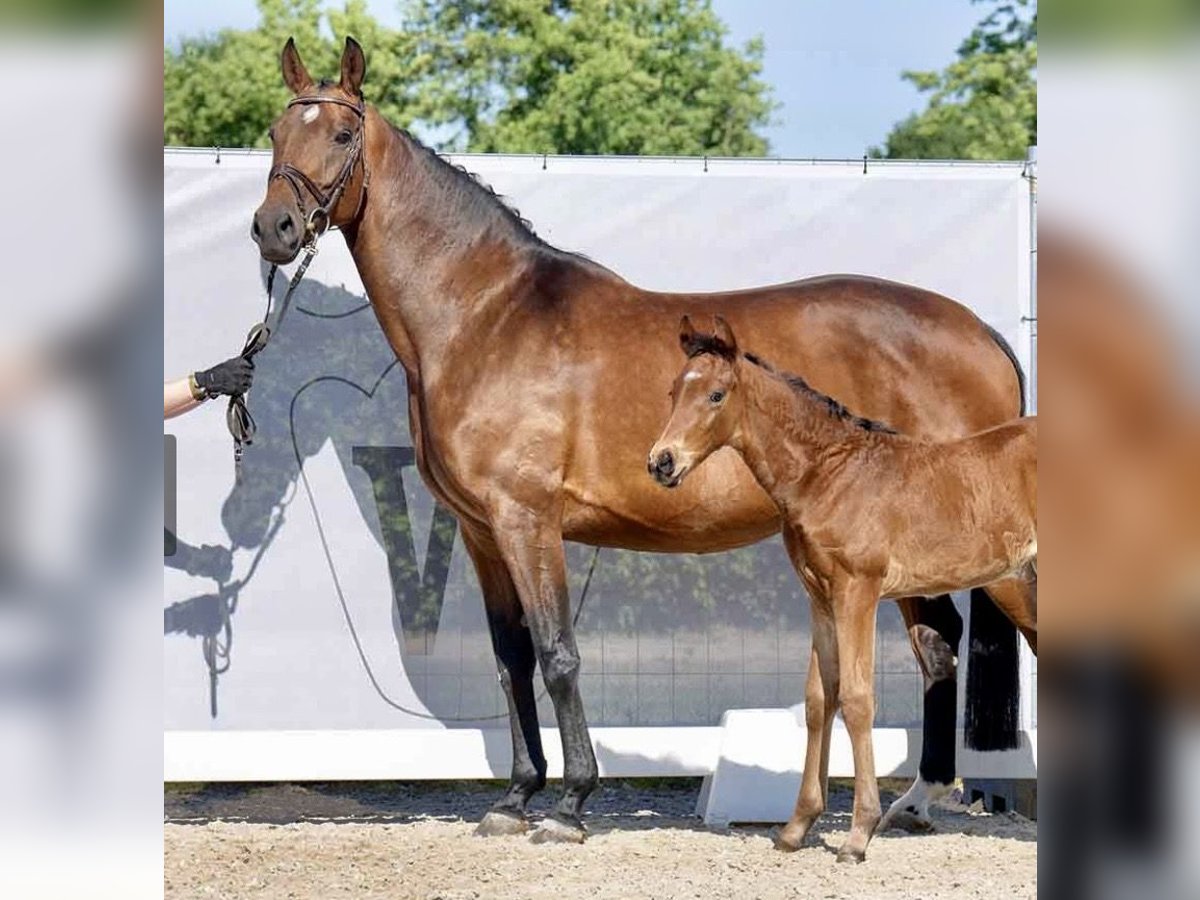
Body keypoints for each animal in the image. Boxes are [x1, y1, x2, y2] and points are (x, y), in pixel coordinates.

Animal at [648, 316, 1037, 861]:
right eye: (672, 391)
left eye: (716, 395)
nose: (661, 463)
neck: (829, 472)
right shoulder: (820, 596)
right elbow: (819, 699)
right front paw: (795, 828)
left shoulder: (859, 591)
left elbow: (855, 698)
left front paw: (858, 834)